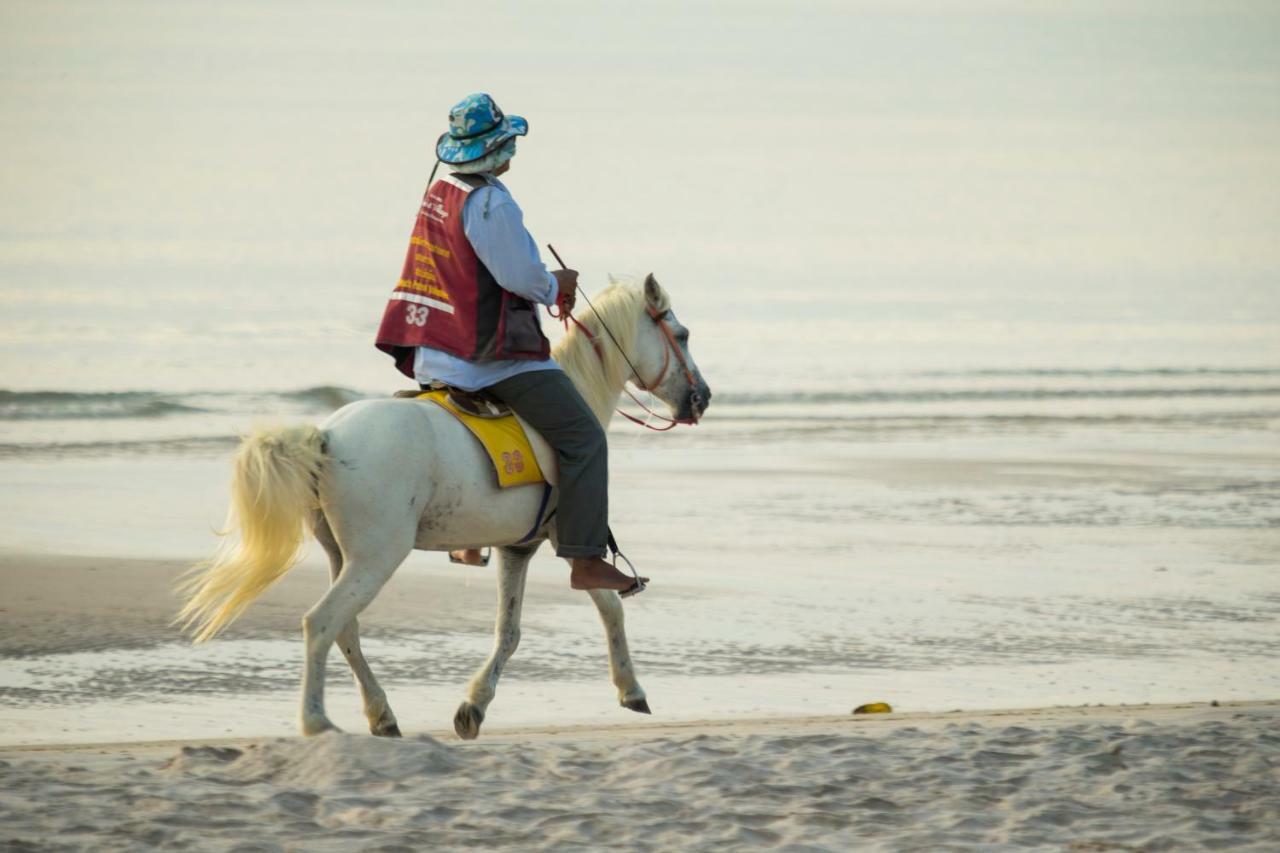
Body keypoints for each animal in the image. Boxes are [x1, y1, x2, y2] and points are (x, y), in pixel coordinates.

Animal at [177, 274, 711, 737]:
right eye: (682, 334)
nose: (701, 398)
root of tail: (327, 436)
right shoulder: (568, 537)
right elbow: (608, 606)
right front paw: (630, 688)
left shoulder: (518, 548)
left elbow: (509, 631)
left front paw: (473, 706)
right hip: (375, 558)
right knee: (322, 623)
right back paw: (317, 721)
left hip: (341, 555)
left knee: (345, 629)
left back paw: (381, 715)